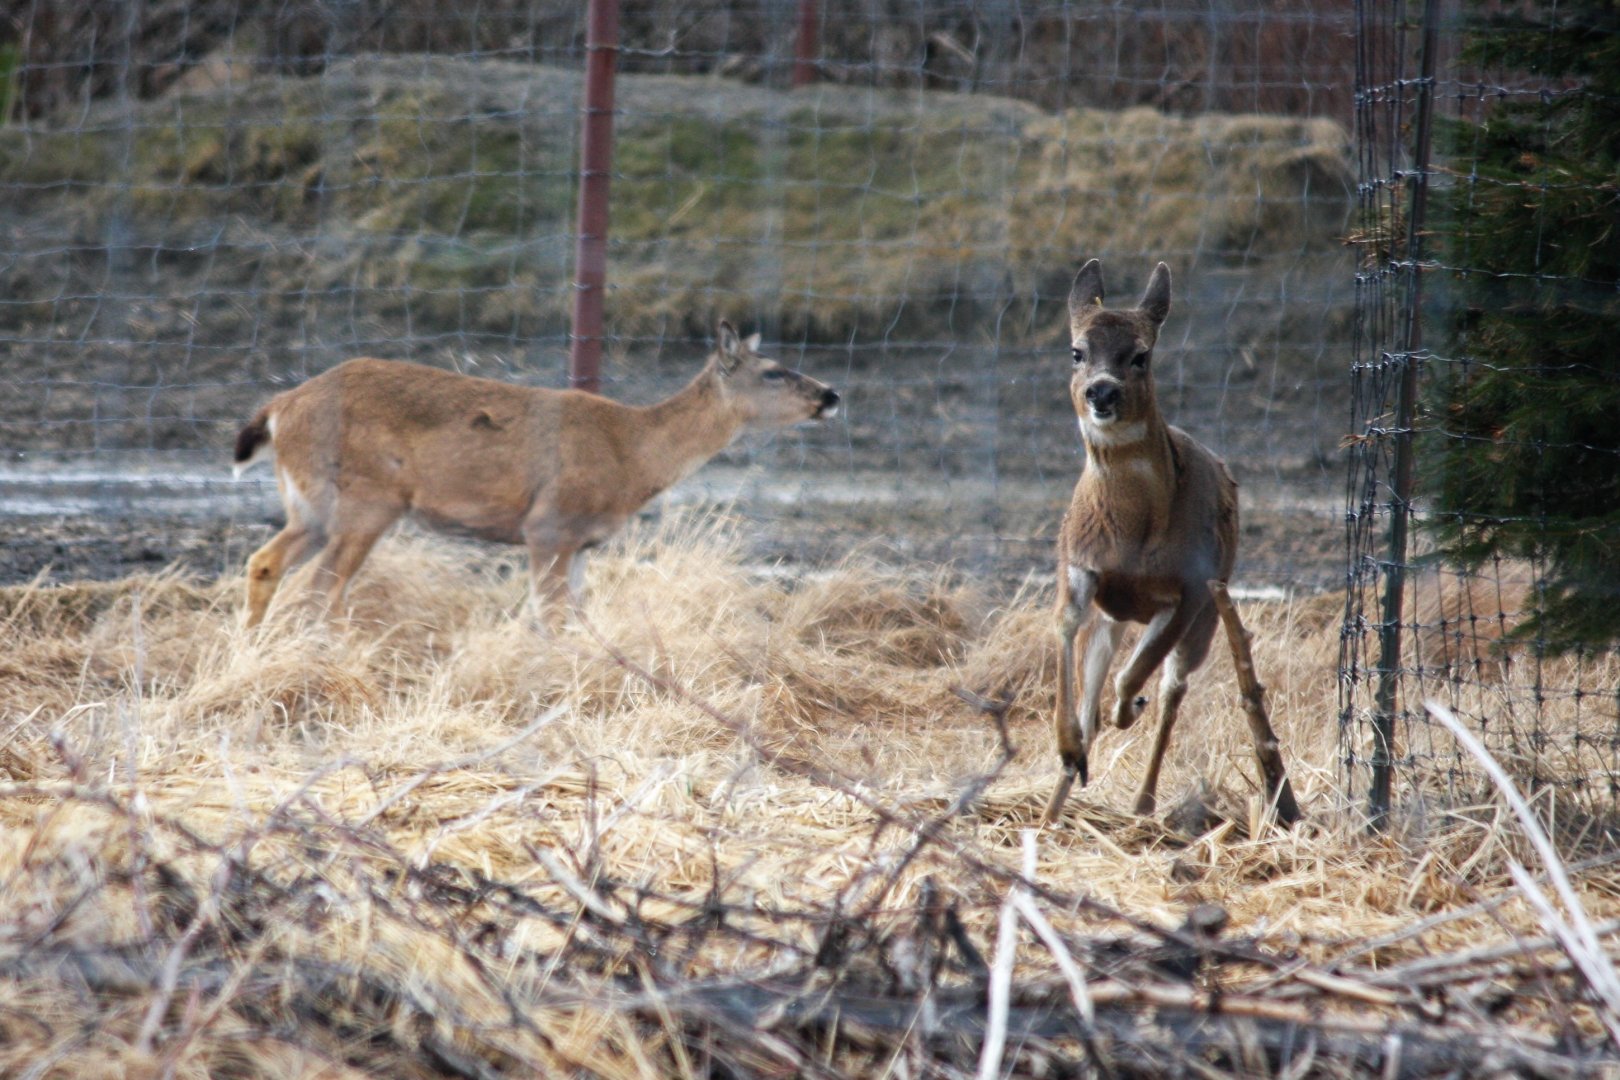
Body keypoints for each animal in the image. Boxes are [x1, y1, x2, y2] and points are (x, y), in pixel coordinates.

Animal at [232, 321, 840, 629]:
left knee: (266, 562)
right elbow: (550, 617)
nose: (832, 395)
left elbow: (575, 617)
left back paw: (254, 649)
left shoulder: (584, 541)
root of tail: (281, 406)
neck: (634, 453)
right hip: (368, 498)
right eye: (774, 371)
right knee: (321, 588)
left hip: (310, 505)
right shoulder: (549, 523)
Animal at [1044, 260, 1239, 823]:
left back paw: (1142, 801)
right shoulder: (1078, 563)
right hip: (1113, 617)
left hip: (1212, 610)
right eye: (1077, 351)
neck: (1132, 540)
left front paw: (1128, 707)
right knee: (1099, 681)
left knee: (1174, 689)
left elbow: (1137, 676)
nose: (1101, 392)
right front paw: (1069, 746)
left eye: (1141, 355)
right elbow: (1064, 628)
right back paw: (1053, 807)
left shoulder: (1193, 587)